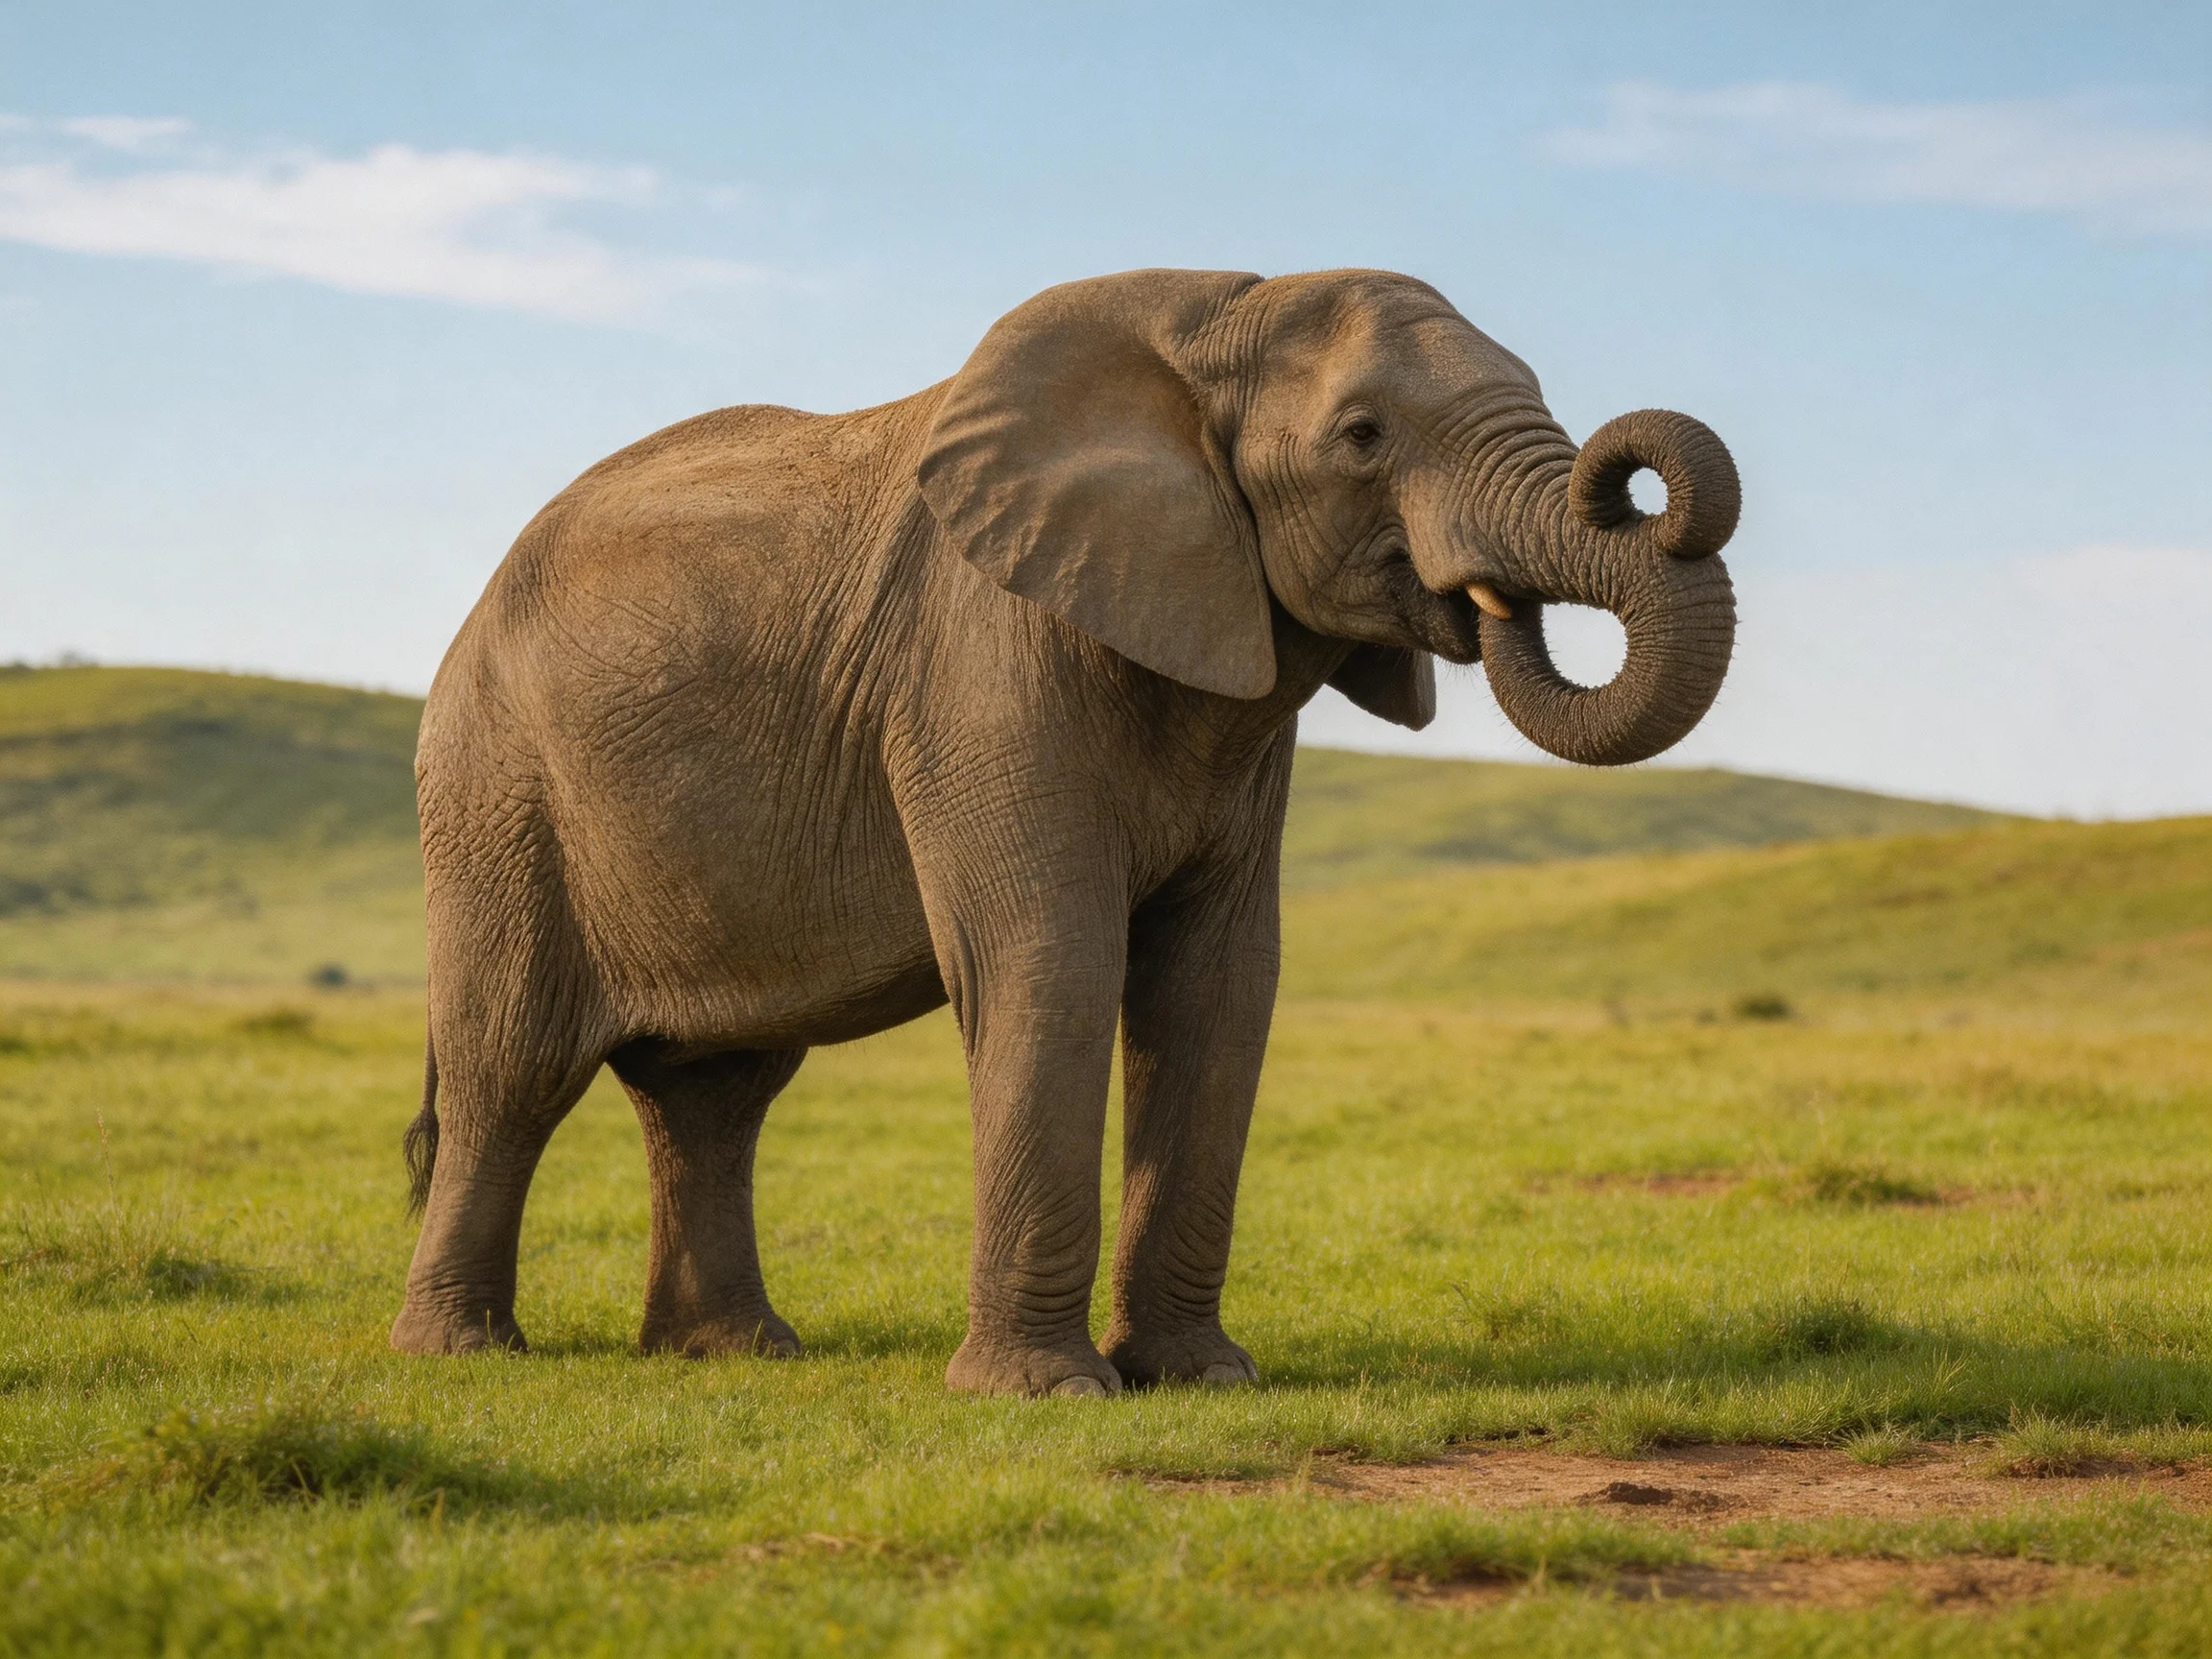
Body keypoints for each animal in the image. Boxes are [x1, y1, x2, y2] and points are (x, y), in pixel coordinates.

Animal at [391, 267, 1739, 1395]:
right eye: (1363, 438)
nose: (1631, 481)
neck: (1215, 319)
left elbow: (1220, 988)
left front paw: (1201, 1381)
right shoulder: (980, 656)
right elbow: (1051, 962)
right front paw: (1045, 1396)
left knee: (718, 1091)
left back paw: (736, 1354)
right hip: (495, 787)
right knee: (513, 1064)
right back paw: (465, 1355)